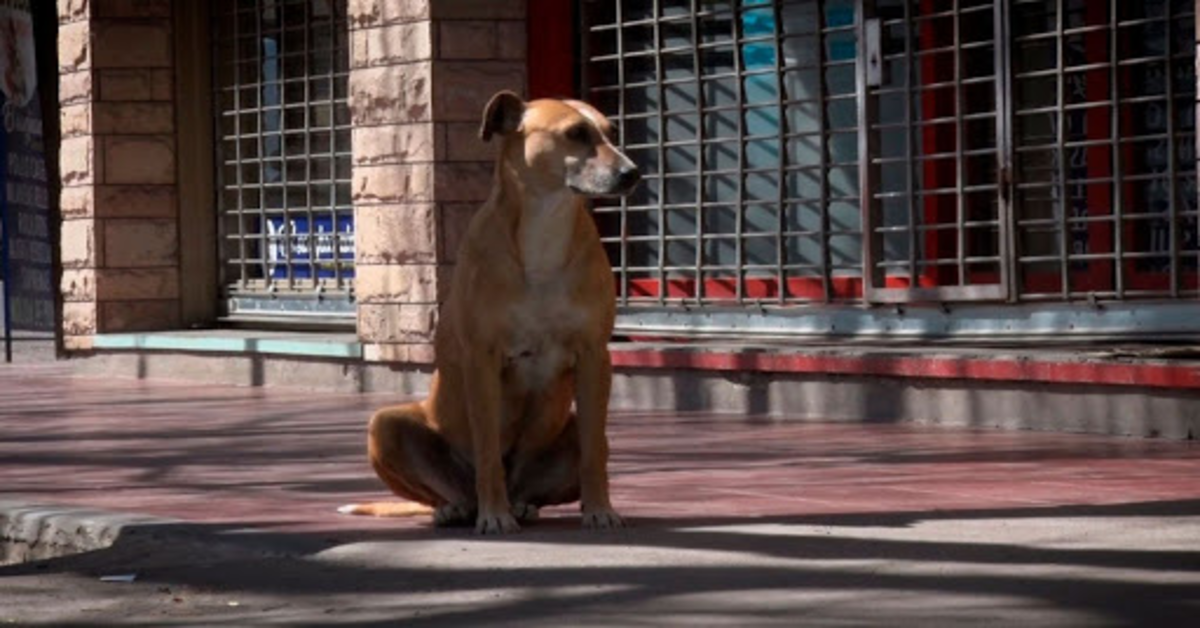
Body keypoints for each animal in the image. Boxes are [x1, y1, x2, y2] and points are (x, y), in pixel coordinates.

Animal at [350, 92, 638, 535]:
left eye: (611, 131)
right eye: (575, 133)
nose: (632, 172)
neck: (545, 227)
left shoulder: (594, 356)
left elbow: (593, 451)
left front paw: (599, 509)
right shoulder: (482, 361)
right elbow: (487, 452)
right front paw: (495, 515)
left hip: (569, 429)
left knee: (559, 467)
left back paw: (521, 505)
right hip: (384, 425)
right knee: (446, 491)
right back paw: (456, 508)